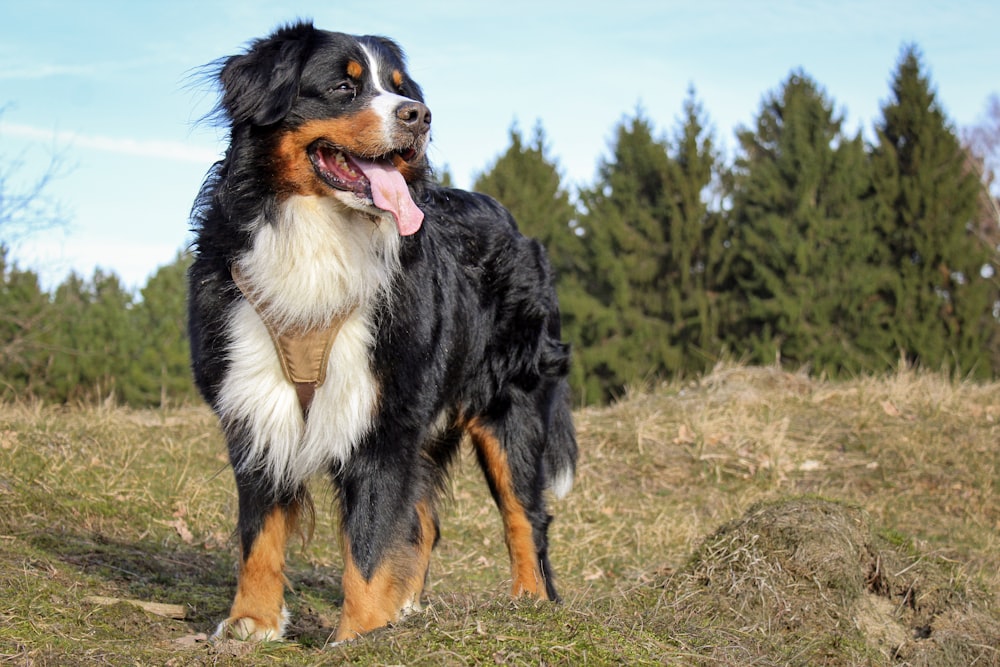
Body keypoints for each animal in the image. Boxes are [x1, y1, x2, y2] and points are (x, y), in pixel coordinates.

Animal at [188, 22, 580, 640]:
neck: (318, 237)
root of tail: (518, 227)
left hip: (509, 405)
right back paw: (408, 608)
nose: (418, 115)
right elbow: (260, 529)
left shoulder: (382, 414)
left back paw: (531, 602)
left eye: (399, 88)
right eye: (343, 87)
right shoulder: (253, 402)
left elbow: (370, 541)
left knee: (526, 515)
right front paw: (252, 622)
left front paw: (358, 637)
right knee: (424, 521)